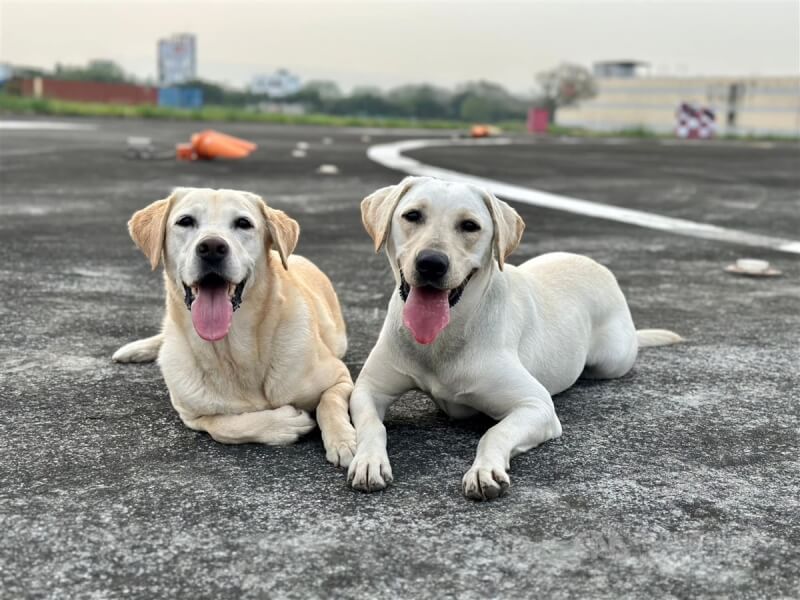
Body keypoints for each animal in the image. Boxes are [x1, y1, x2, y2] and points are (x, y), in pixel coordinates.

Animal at [112, 188, 356, 464]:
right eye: (185, 221)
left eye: (243, 223)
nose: (212, 247)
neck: (235, 353)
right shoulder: (191, 414)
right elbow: (224, 426)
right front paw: (284, 424)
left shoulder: (340, 377)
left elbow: (330, 403)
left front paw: (344, 441)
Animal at [346, 176, 680, 500]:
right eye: (412, 215)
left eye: (470, 225)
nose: (431, 263)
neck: (445, 335)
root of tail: (596, 265)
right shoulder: (367, 389)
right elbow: (372, 425)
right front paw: (368, 460)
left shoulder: (536, 405)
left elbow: (495, 433)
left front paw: (485, 470)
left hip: (612, 361)